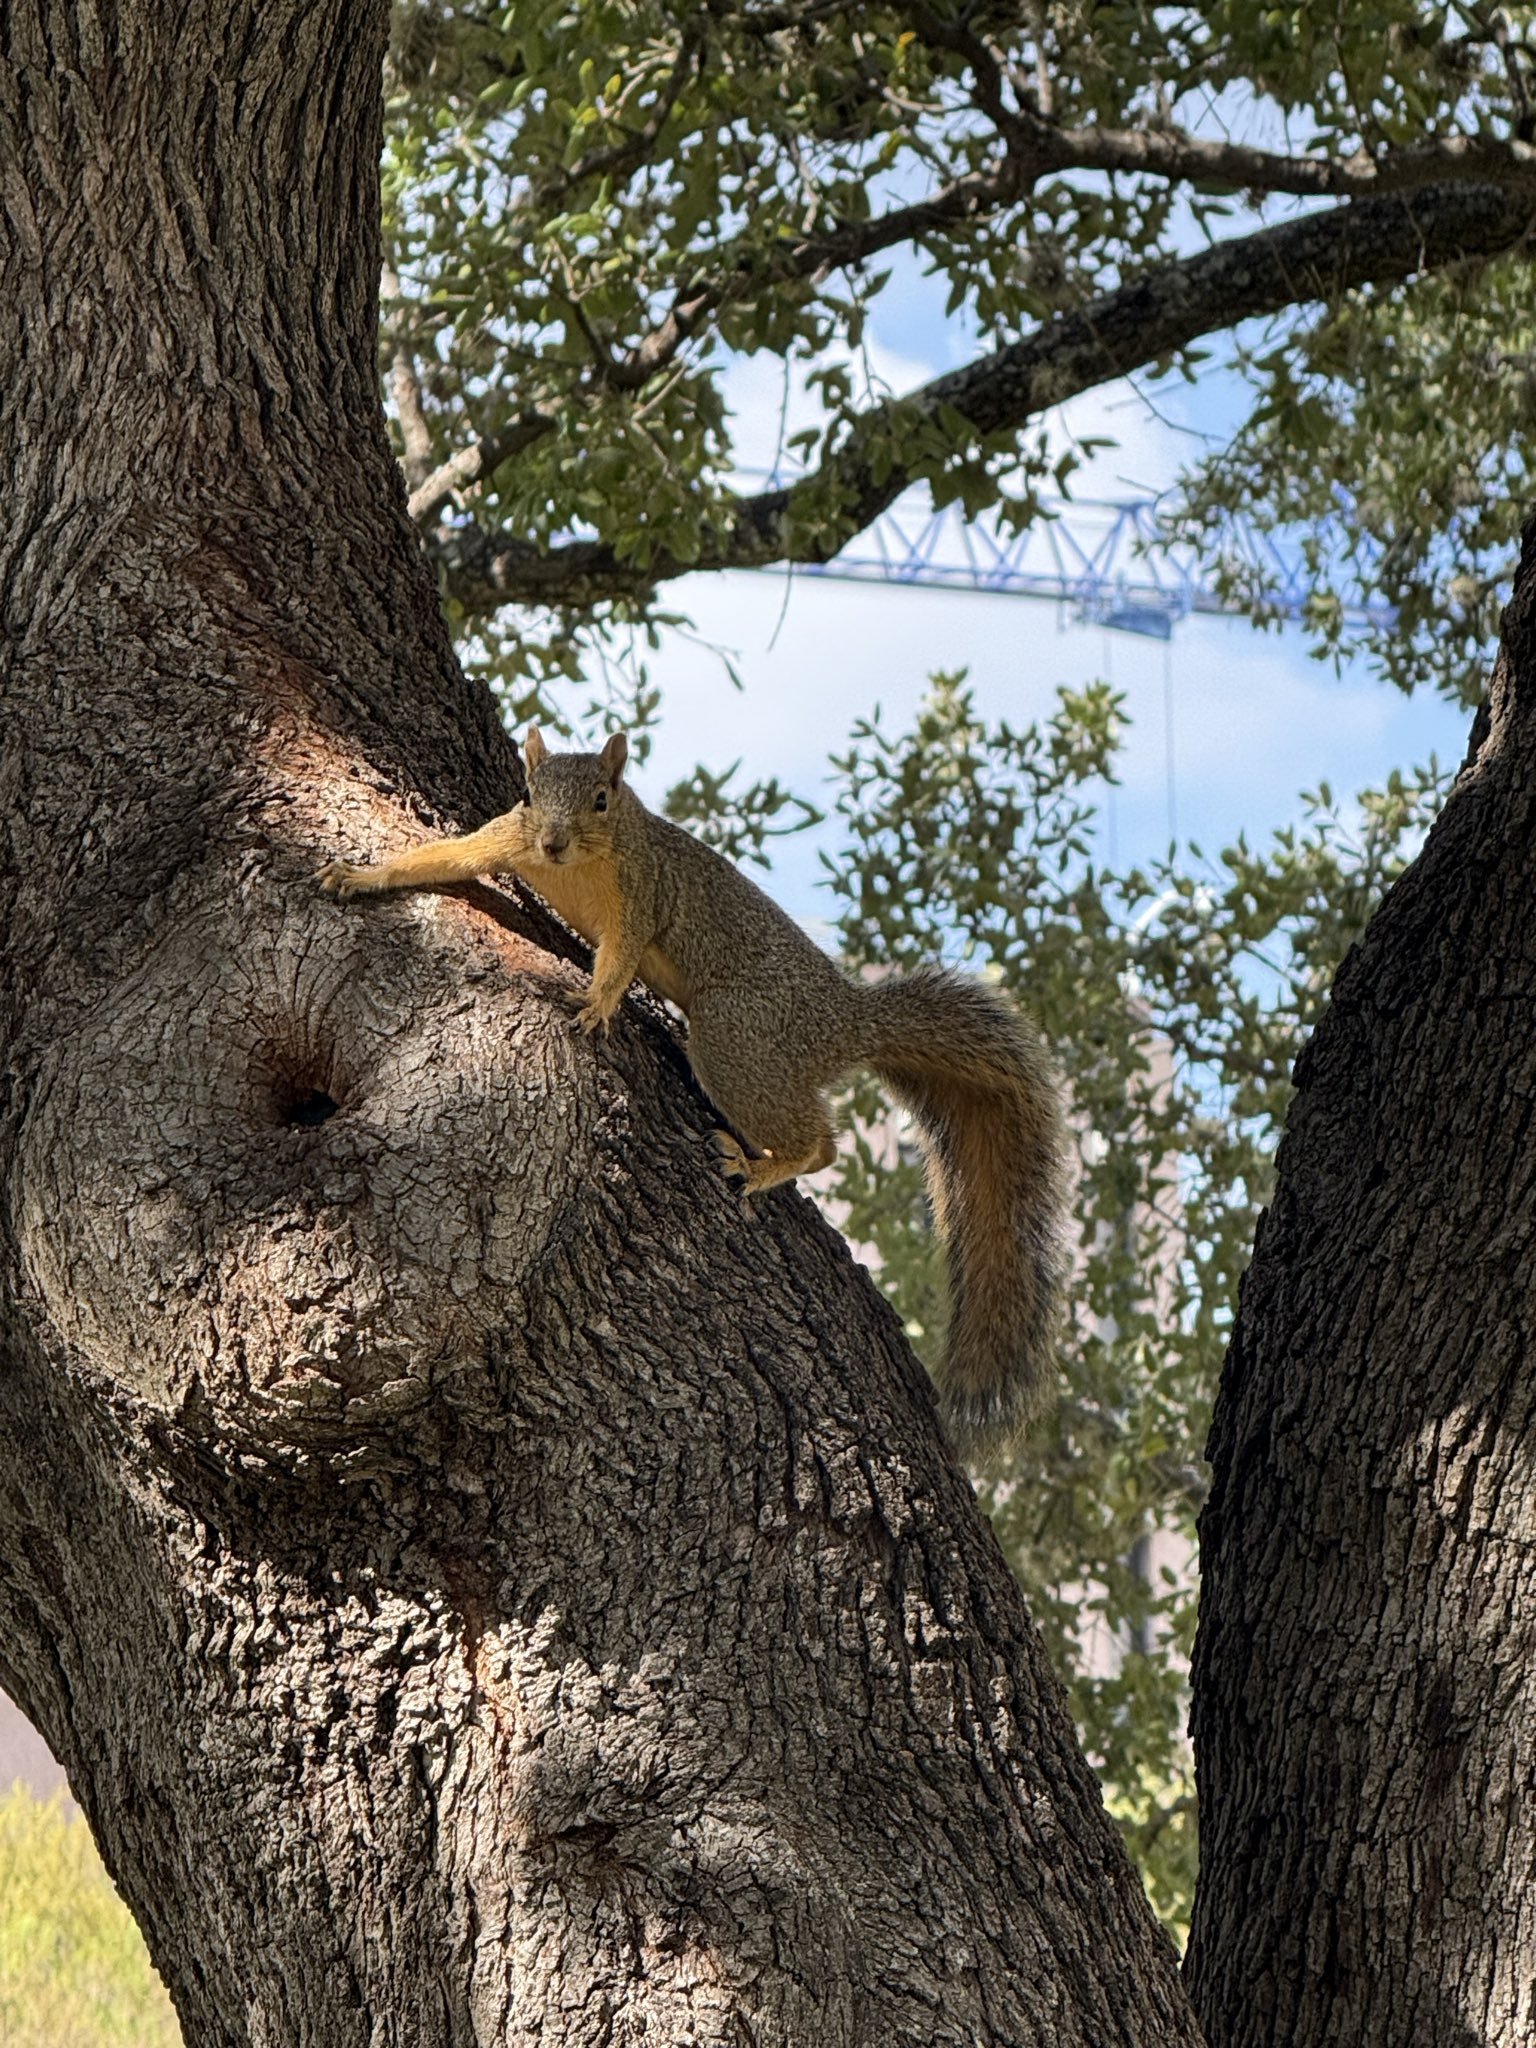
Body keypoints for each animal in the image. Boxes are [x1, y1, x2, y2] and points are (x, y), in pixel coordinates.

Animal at [319, 728, 1070, 1452]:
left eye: (602, 797)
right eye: (531, 794)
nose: (553, 842)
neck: (583, 861)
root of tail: (846, 1025)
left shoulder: (641, 894)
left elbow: (620, 955)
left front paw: (596, 1004)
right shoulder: (506, 838)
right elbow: (444, 857)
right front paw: (358, 875)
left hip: (735, 1036)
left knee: (820, 1142)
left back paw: (760, 1165)